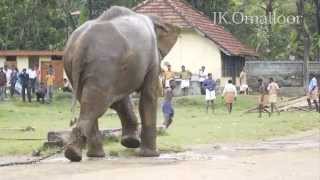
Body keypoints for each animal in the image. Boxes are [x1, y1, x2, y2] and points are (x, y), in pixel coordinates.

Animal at [63, 5, 179, 162]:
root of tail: (82, 43)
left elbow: (121, 100)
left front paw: (131, 142)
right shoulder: (152, 59)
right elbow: (147, 97)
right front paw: (150, 154)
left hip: (77, 67)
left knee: (88, 103)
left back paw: (88, 155)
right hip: (104, 67)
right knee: (96, 105)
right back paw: (76, 154)